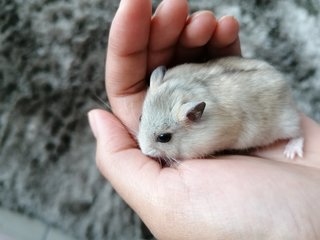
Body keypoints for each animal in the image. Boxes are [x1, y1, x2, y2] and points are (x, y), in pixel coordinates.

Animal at [136, 56, 304, 165]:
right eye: (140, 118)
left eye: (164, 137)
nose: (144, 151)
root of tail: (283, 80)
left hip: (287, 122)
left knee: (299, 133)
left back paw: (291, 152)